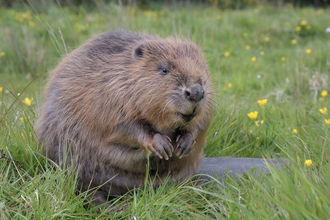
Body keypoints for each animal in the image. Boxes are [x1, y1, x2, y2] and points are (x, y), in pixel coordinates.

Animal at [34, 29, 213, 206]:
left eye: (201, 66)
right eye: (164, 69)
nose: (196, 92)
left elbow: (203, 121)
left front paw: (185, 143)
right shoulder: (109, 94)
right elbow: (122, 127)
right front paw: (160, 145)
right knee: (85, 189)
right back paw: (111, 207)